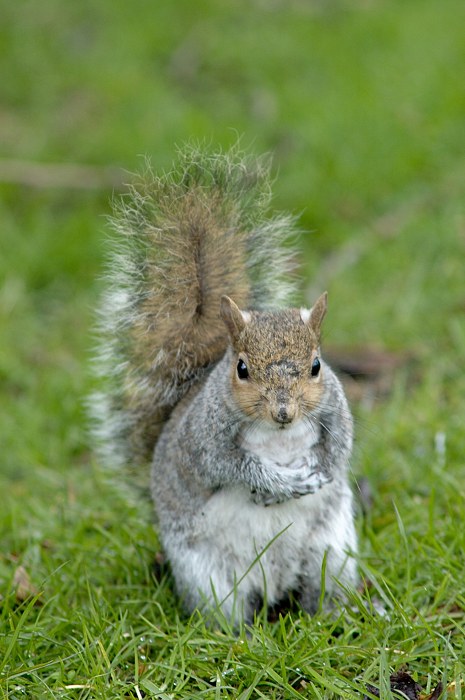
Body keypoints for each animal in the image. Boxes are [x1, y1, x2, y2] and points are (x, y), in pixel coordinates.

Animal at [91, 144, 357, 625]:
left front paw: (318, 470)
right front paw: (276, 484)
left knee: (321, 594)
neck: (280, 435)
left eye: (315, 366)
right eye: (242, 369)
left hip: (333, 554)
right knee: (228, 613)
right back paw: (240, 635)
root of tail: (275, 586)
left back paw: (340, 617)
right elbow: (226, 465)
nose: (284, 412)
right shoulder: (203, 439)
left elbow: (338, 450)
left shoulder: (337, 412)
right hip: (210, 578)